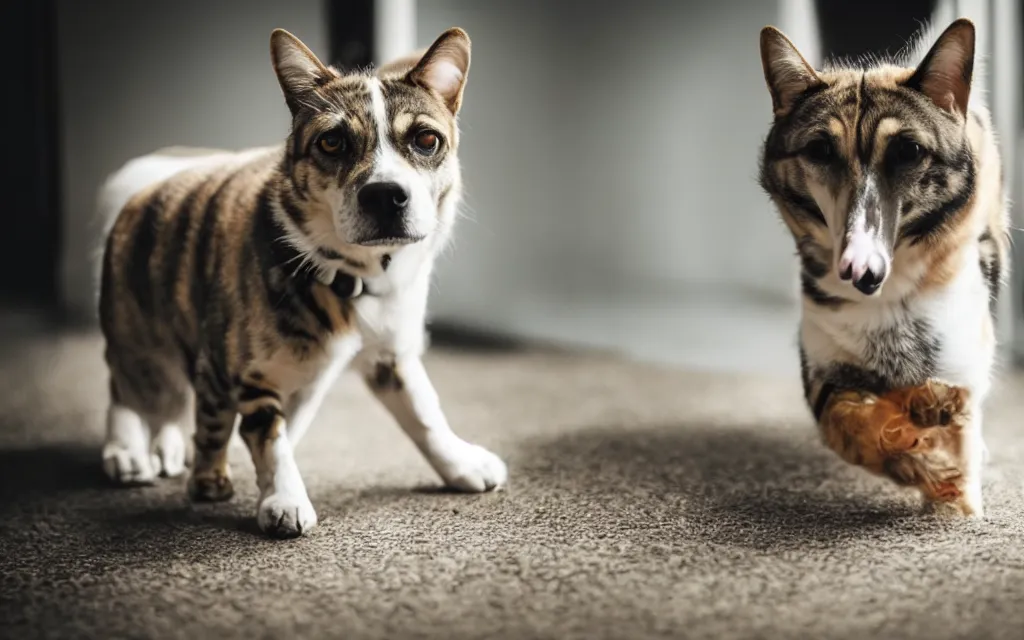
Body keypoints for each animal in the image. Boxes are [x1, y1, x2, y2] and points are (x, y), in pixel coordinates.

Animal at [97, 26, 505, 532]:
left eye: (426, 139)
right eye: (332, 143)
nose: (386, 196)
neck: (353, 277)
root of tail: (139, 194)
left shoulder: (391, 354)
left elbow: (425, 413)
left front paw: (461, 464)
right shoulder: (247, 372)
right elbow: (270, 439)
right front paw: (283, 498)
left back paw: (170, 447)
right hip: (143, 344)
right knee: (130, 388)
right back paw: (126, 451)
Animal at [761, 17, 1007, 516]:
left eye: (909, 151)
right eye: (819, 150)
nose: (861, 269)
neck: (891, 299)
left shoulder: (961, 360)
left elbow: (959, 446)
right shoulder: (824, 380)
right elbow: (856, 423)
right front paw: (919, 455)